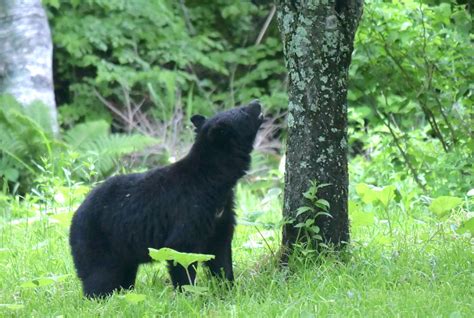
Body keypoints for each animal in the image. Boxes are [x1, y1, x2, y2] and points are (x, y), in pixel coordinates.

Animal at [70, 100, 262, 298]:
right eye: (242, 110)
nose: (256, 102)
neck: (213, 180)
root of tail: (75, 216)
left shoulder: (220, 215)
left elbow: (220, 252)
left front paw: (228, 287)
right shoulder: (190, 209)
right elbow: (181, 250)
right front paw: (188, 294)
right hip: (96, 242)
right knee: (99, 277)